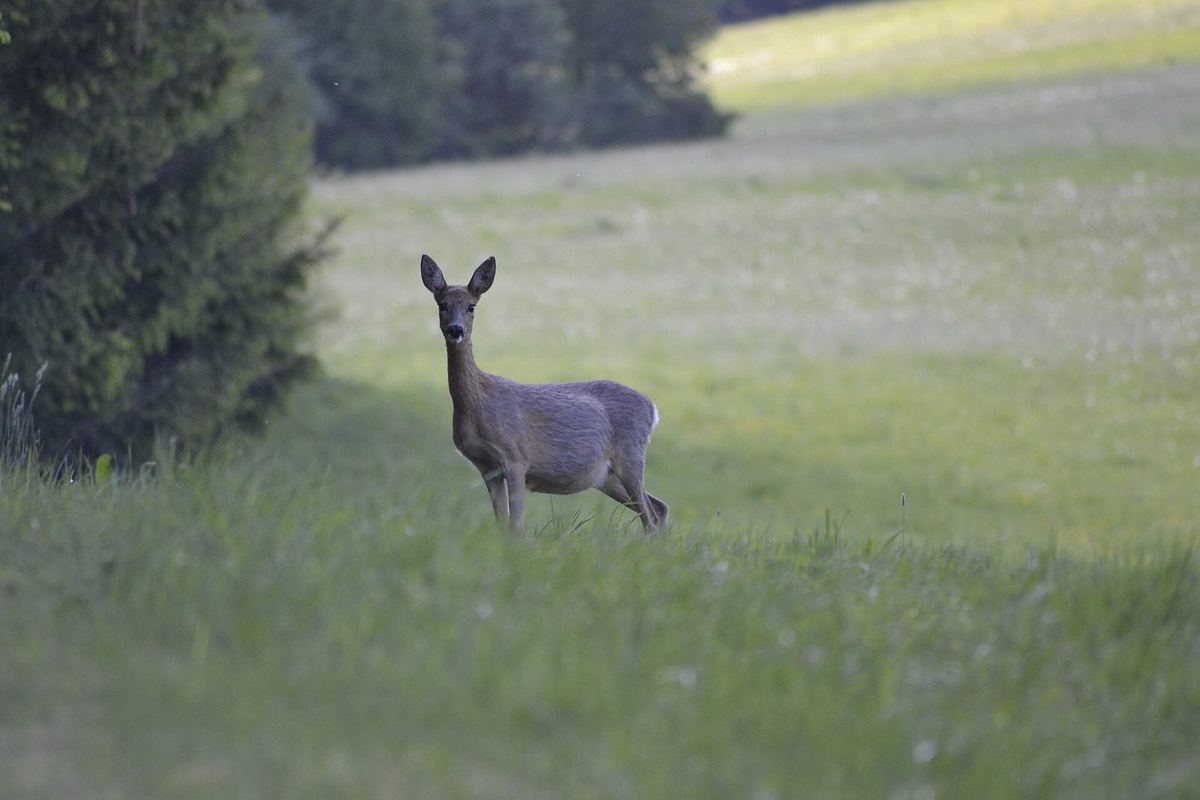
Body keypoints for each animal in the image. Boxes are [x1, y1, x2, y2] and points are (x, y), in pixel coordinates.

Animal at [420, 254, 669, 533]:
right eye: (442, 305)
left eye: (471, 307)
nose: (456, 330)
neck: (480, 403)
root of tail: (652, 409)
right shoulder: (486, 467)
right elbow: (502, 523)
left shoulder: (516, 456)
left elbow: (516, 525)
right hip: (605, 475)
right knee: (659, 507)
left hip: (631, 455)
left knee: (651, 516)